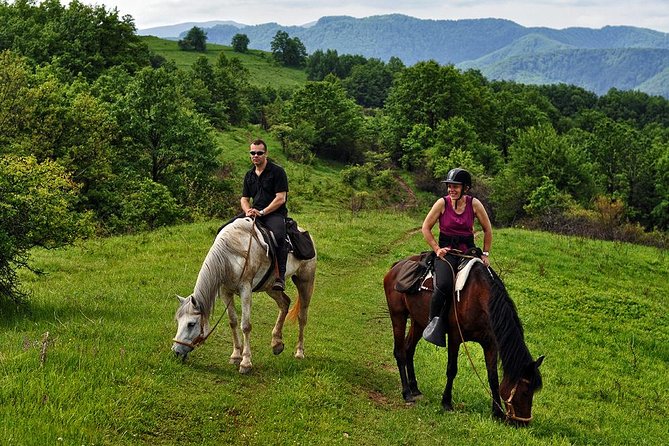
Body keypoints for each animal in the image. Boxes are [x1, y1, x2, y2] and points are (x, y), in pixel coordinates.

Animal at [172, 216, 318, 372]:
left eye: (191, 324)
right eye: (178, 321)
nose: (176, 351)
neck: (230, 256)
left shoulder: (245, 290)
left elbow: (246, 325)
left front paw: (246, 362)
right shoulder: (225, 291)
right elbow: (233, 322)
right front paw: (236, 355)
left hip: (305, 282)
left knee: (302, 317)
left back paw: (299, 352)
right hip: (271, 287)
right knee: (284, 303)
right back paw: (276, 343)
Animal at [384, 254, 544, 426]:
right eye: (525, 392)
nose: (523, 423)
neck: (479, 296)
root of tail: (396, 266)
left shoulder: (490, 343)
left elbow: (493, 377)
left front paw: (497, 412)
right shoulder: (455, 337)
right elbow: (452, 369)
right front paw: (446, 402)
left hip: (418, 321)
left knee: (409, 348)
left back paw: (415, 389)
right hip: (398, 315)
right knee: (400, 352)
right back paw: (407, 393)